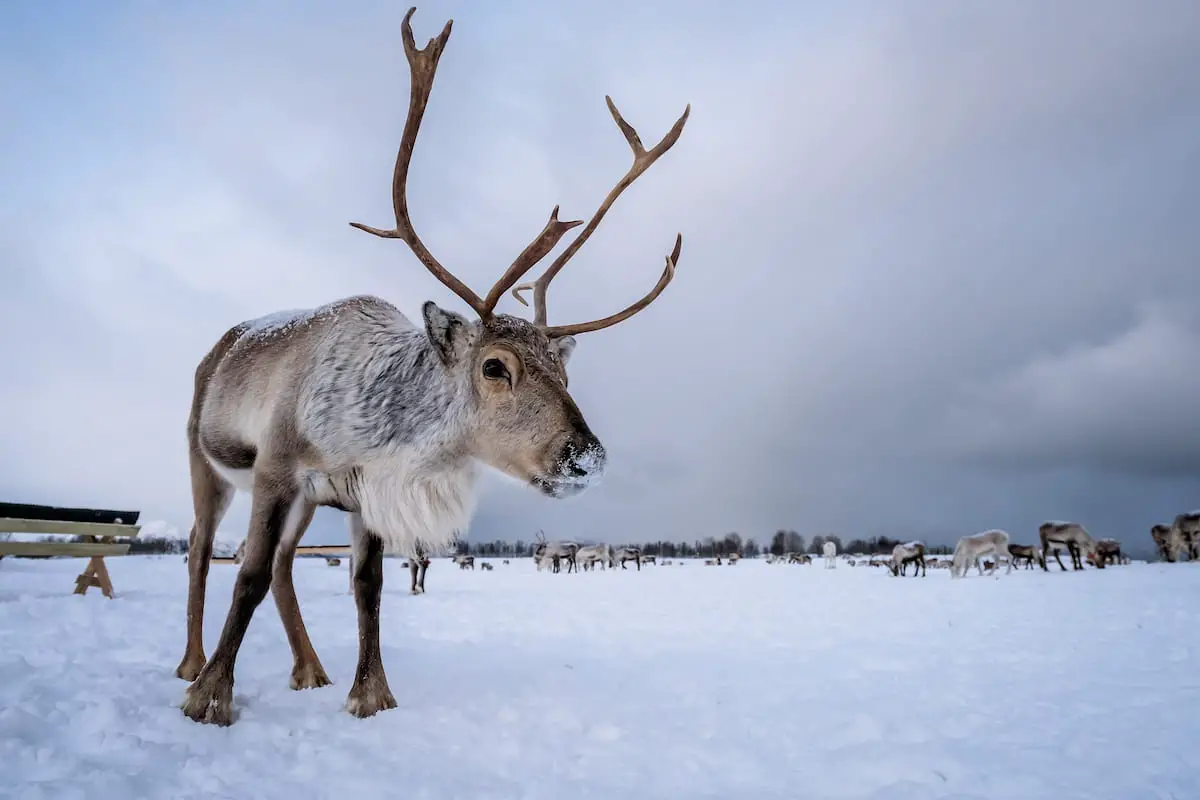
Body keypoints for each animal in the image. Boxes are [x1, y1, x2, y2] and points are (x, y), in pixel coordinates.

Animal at [173, 7, 689, 727]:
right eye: (495, 367)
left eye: (564, 370)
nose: (585, 456)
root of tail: (216, 348)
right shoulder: (277, 467)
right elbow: (242, 573)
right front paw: (210, 697)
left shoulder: (359, 491)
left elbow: (366, 583)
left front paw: (371, 695)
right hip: (204, 458)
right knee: (201, 548)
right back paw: (191, 662)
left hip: (303, 499)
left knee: (282, 566)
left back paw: (310, 670)